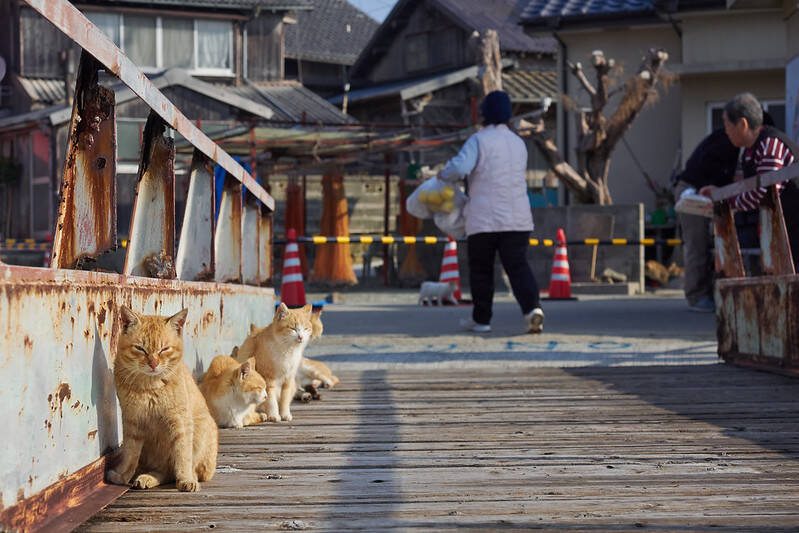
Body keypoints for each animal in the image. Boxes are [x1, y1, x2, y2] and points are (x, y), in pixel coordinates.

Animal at [108, 306, 219, 492]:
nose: (153, 363)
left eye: (164, 349)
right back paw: (146, 478)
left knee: (179, 470)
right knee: (163, 471)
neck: (149, 387)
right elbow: (130, 454)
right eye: (140, 348)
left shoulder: (180, 421)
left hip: (202, 431)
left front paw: (186, 480)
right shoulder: (132, 422)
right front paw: (122, 476)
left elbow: (182, 455)